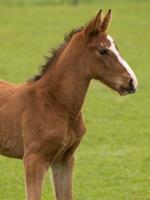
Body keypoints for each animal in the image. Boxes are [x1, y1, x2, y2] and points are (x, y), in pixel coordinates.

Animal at [0, 9, 138, 200]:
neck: (55, 104)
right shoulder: (33, 160)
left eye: (117, 48)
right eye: (103, 50)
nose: (132, 82)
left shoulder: (64, 159)